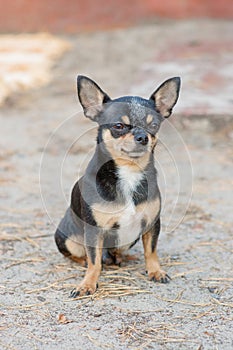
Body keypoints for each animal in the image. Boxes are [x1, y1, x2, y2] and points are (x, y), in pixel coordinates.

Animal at [54, 75, 180, 296]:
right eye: (119, 126)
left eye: (154, 125)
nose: (142, 137)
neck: (129, 171)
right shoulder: (94, 230)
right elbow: (94, 261)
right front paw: (88, 283)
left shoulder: (152, 224)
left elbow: (151, 251)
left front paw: (155, 271)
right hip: (66, 238)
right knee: (84, 255)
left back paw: (123, 257)